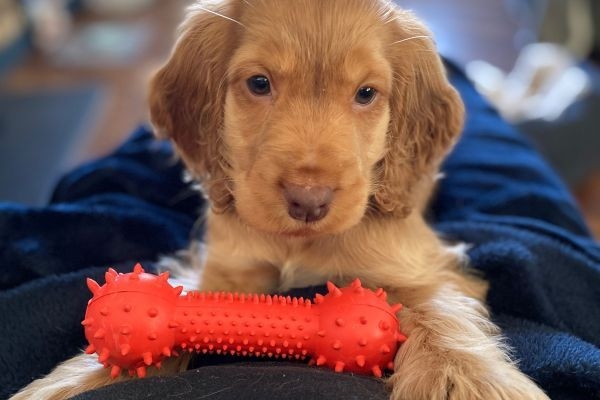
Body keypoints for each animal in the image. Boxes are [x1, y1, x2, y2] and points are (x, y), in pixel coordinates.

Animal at [12, 0, 548, 400]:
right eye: (259, 84)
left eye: (366, 93)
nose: (308, 202)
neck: (297, 246)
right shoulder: (228, 270)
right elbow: (178, 307)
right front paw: (83, 378)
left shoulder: (419, 265)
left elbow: (434, 309)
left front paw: (463, 378)